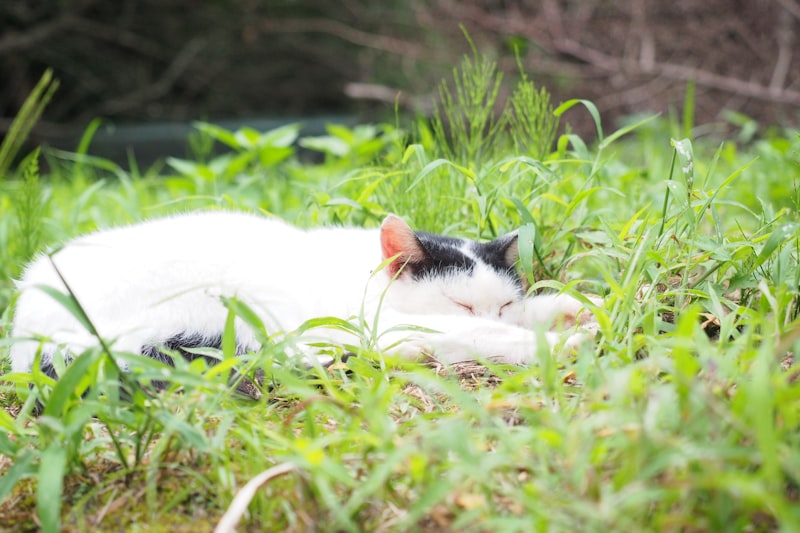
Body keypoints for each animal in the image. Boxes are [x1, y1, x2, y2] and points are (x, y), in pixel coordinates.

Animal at [9, 211, 600, 386]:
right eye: (460, 304)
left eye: (504, 302)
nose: (498, 313)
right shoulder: (379, 326)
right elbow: (474, 336)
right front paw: (553, 346)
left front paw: (578, 314)